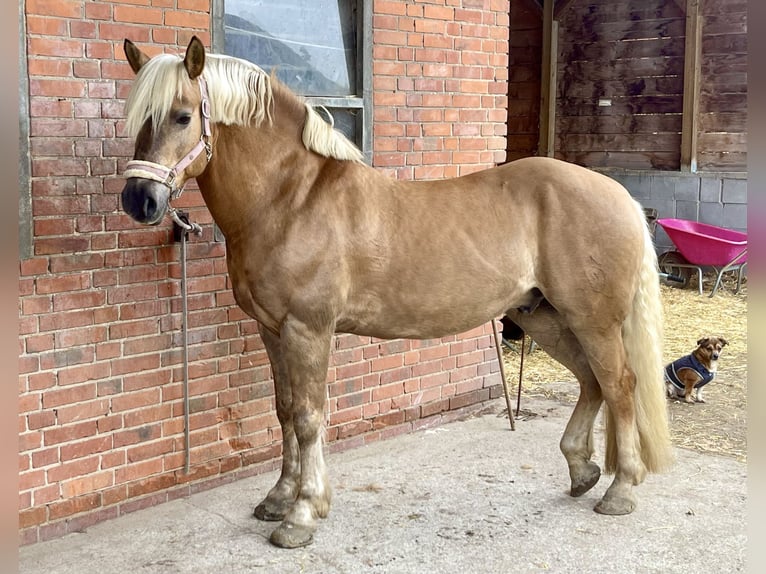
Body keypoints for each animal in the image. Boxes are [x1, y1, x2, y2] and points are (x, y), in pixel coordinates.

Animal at [118, 37, 672, 552]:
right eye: (138, 118)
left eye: (182, 116)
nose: (139, 199)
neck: (291, 201)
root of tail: (618, 194)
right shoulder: (271, 329)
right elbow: (283, 410)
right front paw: (278, 498)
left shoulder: (308, 330)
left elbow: (308, 417)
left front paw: (302, 514)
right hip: (544, 316)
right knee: (591, 381)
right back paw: (582, 471)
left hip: (592, 319)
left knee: (619, 385)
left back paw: (620, 489)